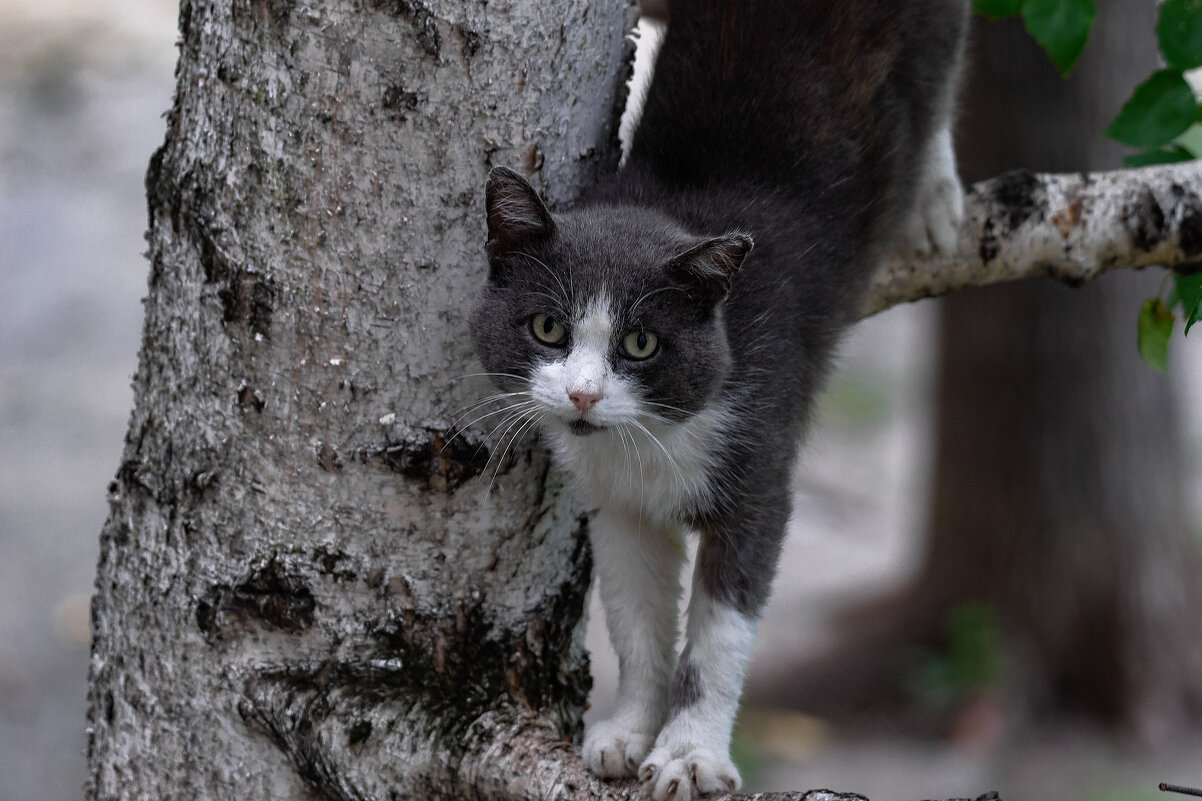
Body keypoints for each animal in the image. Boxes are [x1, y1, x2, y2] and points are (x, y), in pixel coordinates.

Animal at [468, 3, 966, 793]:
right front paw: (628, 731)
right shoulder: (618, 506)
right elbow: (634, 618)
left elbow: (721, 631)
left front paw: (688, 754)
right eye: (547, 328)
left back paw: (934, 200)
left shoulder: (761, 456)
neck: (652, 439)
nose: (582, 394)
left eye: (642, 343)